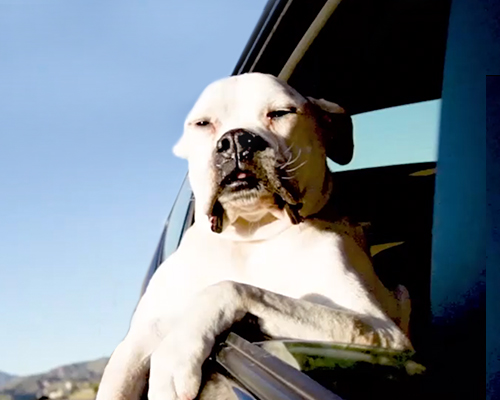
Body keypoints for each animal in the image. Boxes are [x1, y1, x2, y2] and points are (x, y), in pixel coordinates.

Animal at [95, 72, 412, 400]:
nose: (236, 139)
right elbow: (117, 376)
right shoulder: (141, 335)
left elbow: (231, 288)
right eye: (203, 123)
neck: (251, 233)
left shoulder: (379, 330)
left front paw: (174, 355)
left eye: (281, 113)